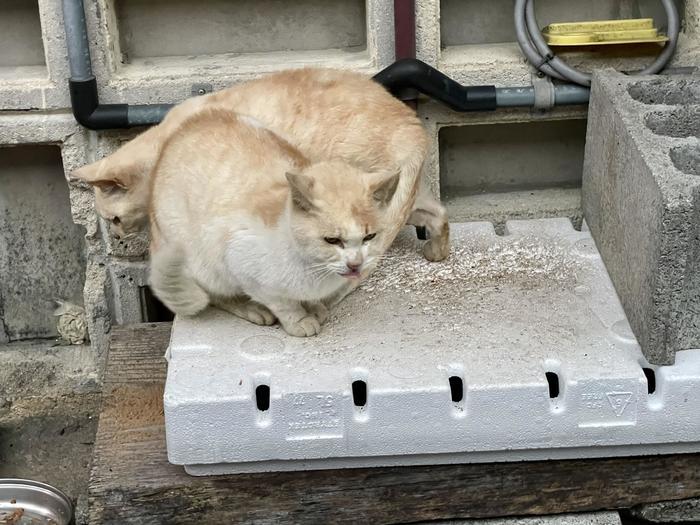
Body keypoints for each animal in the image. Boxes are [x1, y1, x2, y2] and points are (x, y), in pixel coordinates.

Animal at [71, 66, 448, 260]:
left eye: (114, 219)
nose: (116, 236)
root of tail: (413, 124)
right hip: (404, 199)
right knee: (439, 214)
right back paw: (437, 252)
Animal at [152, 108, 404, 336]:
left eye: (369, 237)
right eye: (332, 240)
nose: (355, 264)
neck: (315, 271)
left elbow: (309, 301)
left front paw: (314, 308)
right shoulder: (245, 267)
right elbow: (284, 304)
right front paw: (300, 319)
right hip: (204, 262)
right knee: (214, 296)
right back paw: (251, 308)